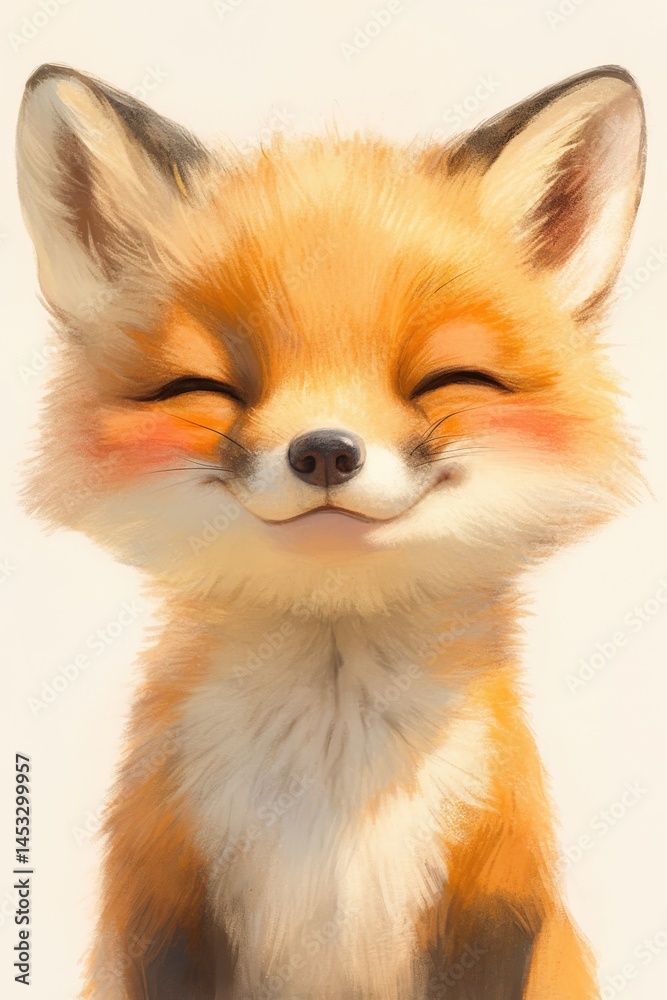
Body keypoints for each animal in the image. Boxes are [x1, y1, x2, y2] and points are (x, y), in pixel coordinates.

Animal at [16, 62, 646, 999]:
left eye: (445, 379)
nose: (322, 451)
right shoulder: (161, 904)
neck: (333, 791)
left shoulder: (494, 904)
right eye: (207, 387)